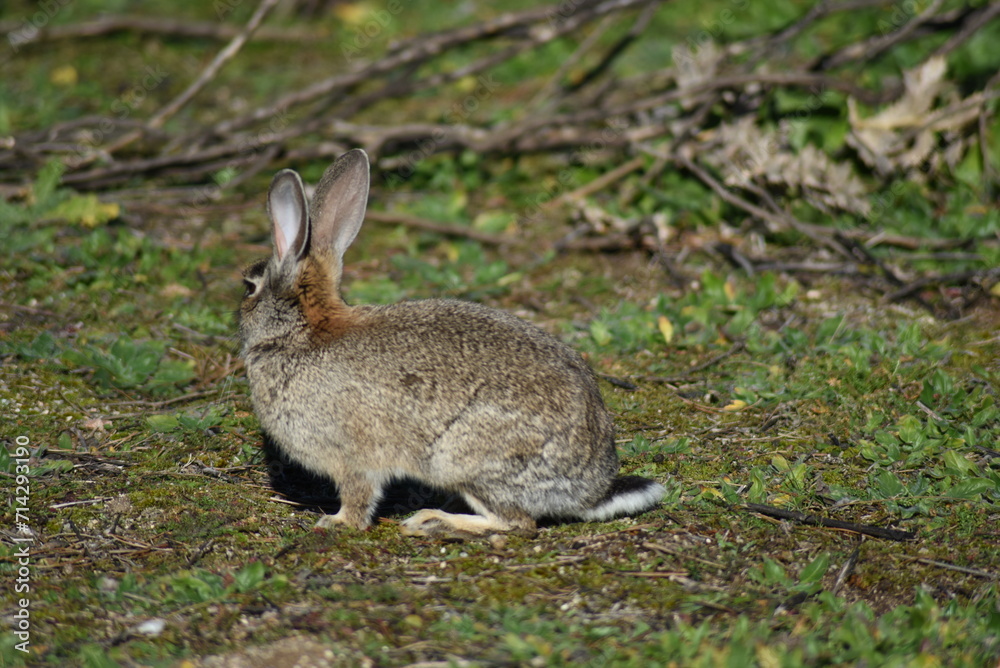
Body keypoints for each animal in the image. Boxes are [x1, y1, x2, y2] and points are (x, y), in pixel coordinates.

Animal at [238, 147, 668, 536]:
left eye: (249, 288)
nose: (238, 320)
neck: (302, 332)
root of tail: (590, 489)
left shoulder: (351, 456)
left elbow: (359, 496)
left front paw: (338, 522)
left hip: (464, 459)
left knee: (518, 523)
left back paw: (433, 521)